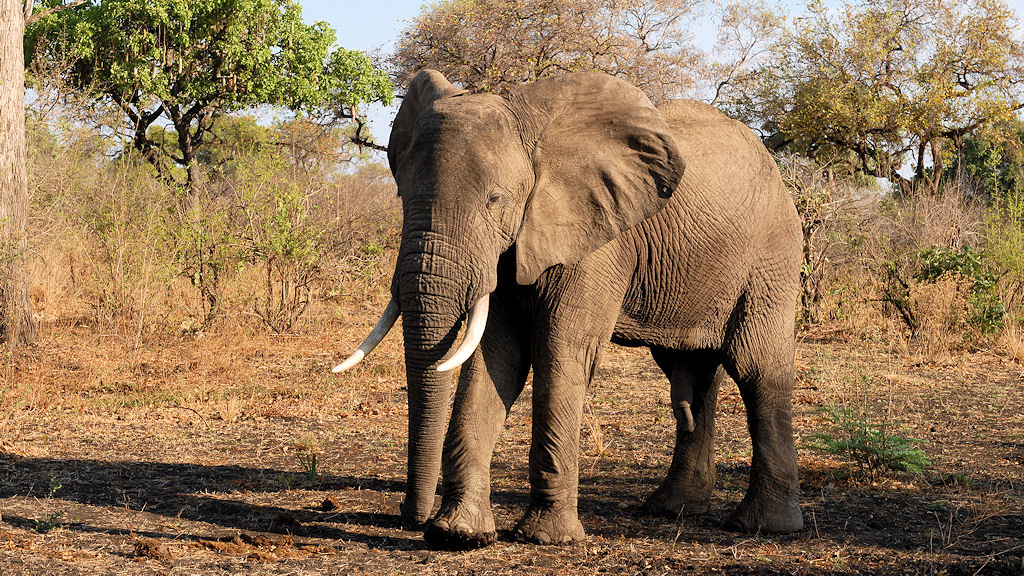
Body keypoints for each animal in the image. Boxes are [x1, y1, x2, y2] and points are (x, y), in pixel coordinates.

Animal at [334, 69, 804, 549]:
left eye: (495, 200)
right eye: (402, 197)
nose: (410, 519)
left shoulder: (596, 238)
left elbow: (559, 350)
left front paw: (546, 538)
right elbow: (494, 358)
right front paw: (459, 534)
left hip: (772, 255)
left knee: (756, 368)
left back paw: (764, 526)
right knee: (689, 374)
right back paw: (671, 509)